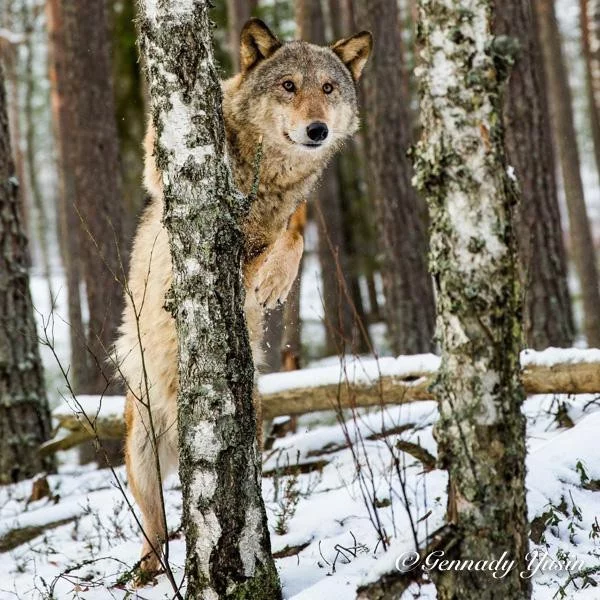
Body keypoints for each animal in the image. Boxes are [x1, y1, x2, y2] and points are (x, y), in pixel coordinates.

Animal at [115, 17, 372, 572]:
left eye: (328, 88)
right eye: (288, 86)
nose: (317, 130)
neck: (268, 171)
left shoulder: (282, 221)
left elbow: (293, 236)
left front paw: (273, 282)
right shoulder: (158, 164)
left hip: (244, 421)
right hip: (141, 446)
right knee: (154, 527)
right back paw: (148, 573)